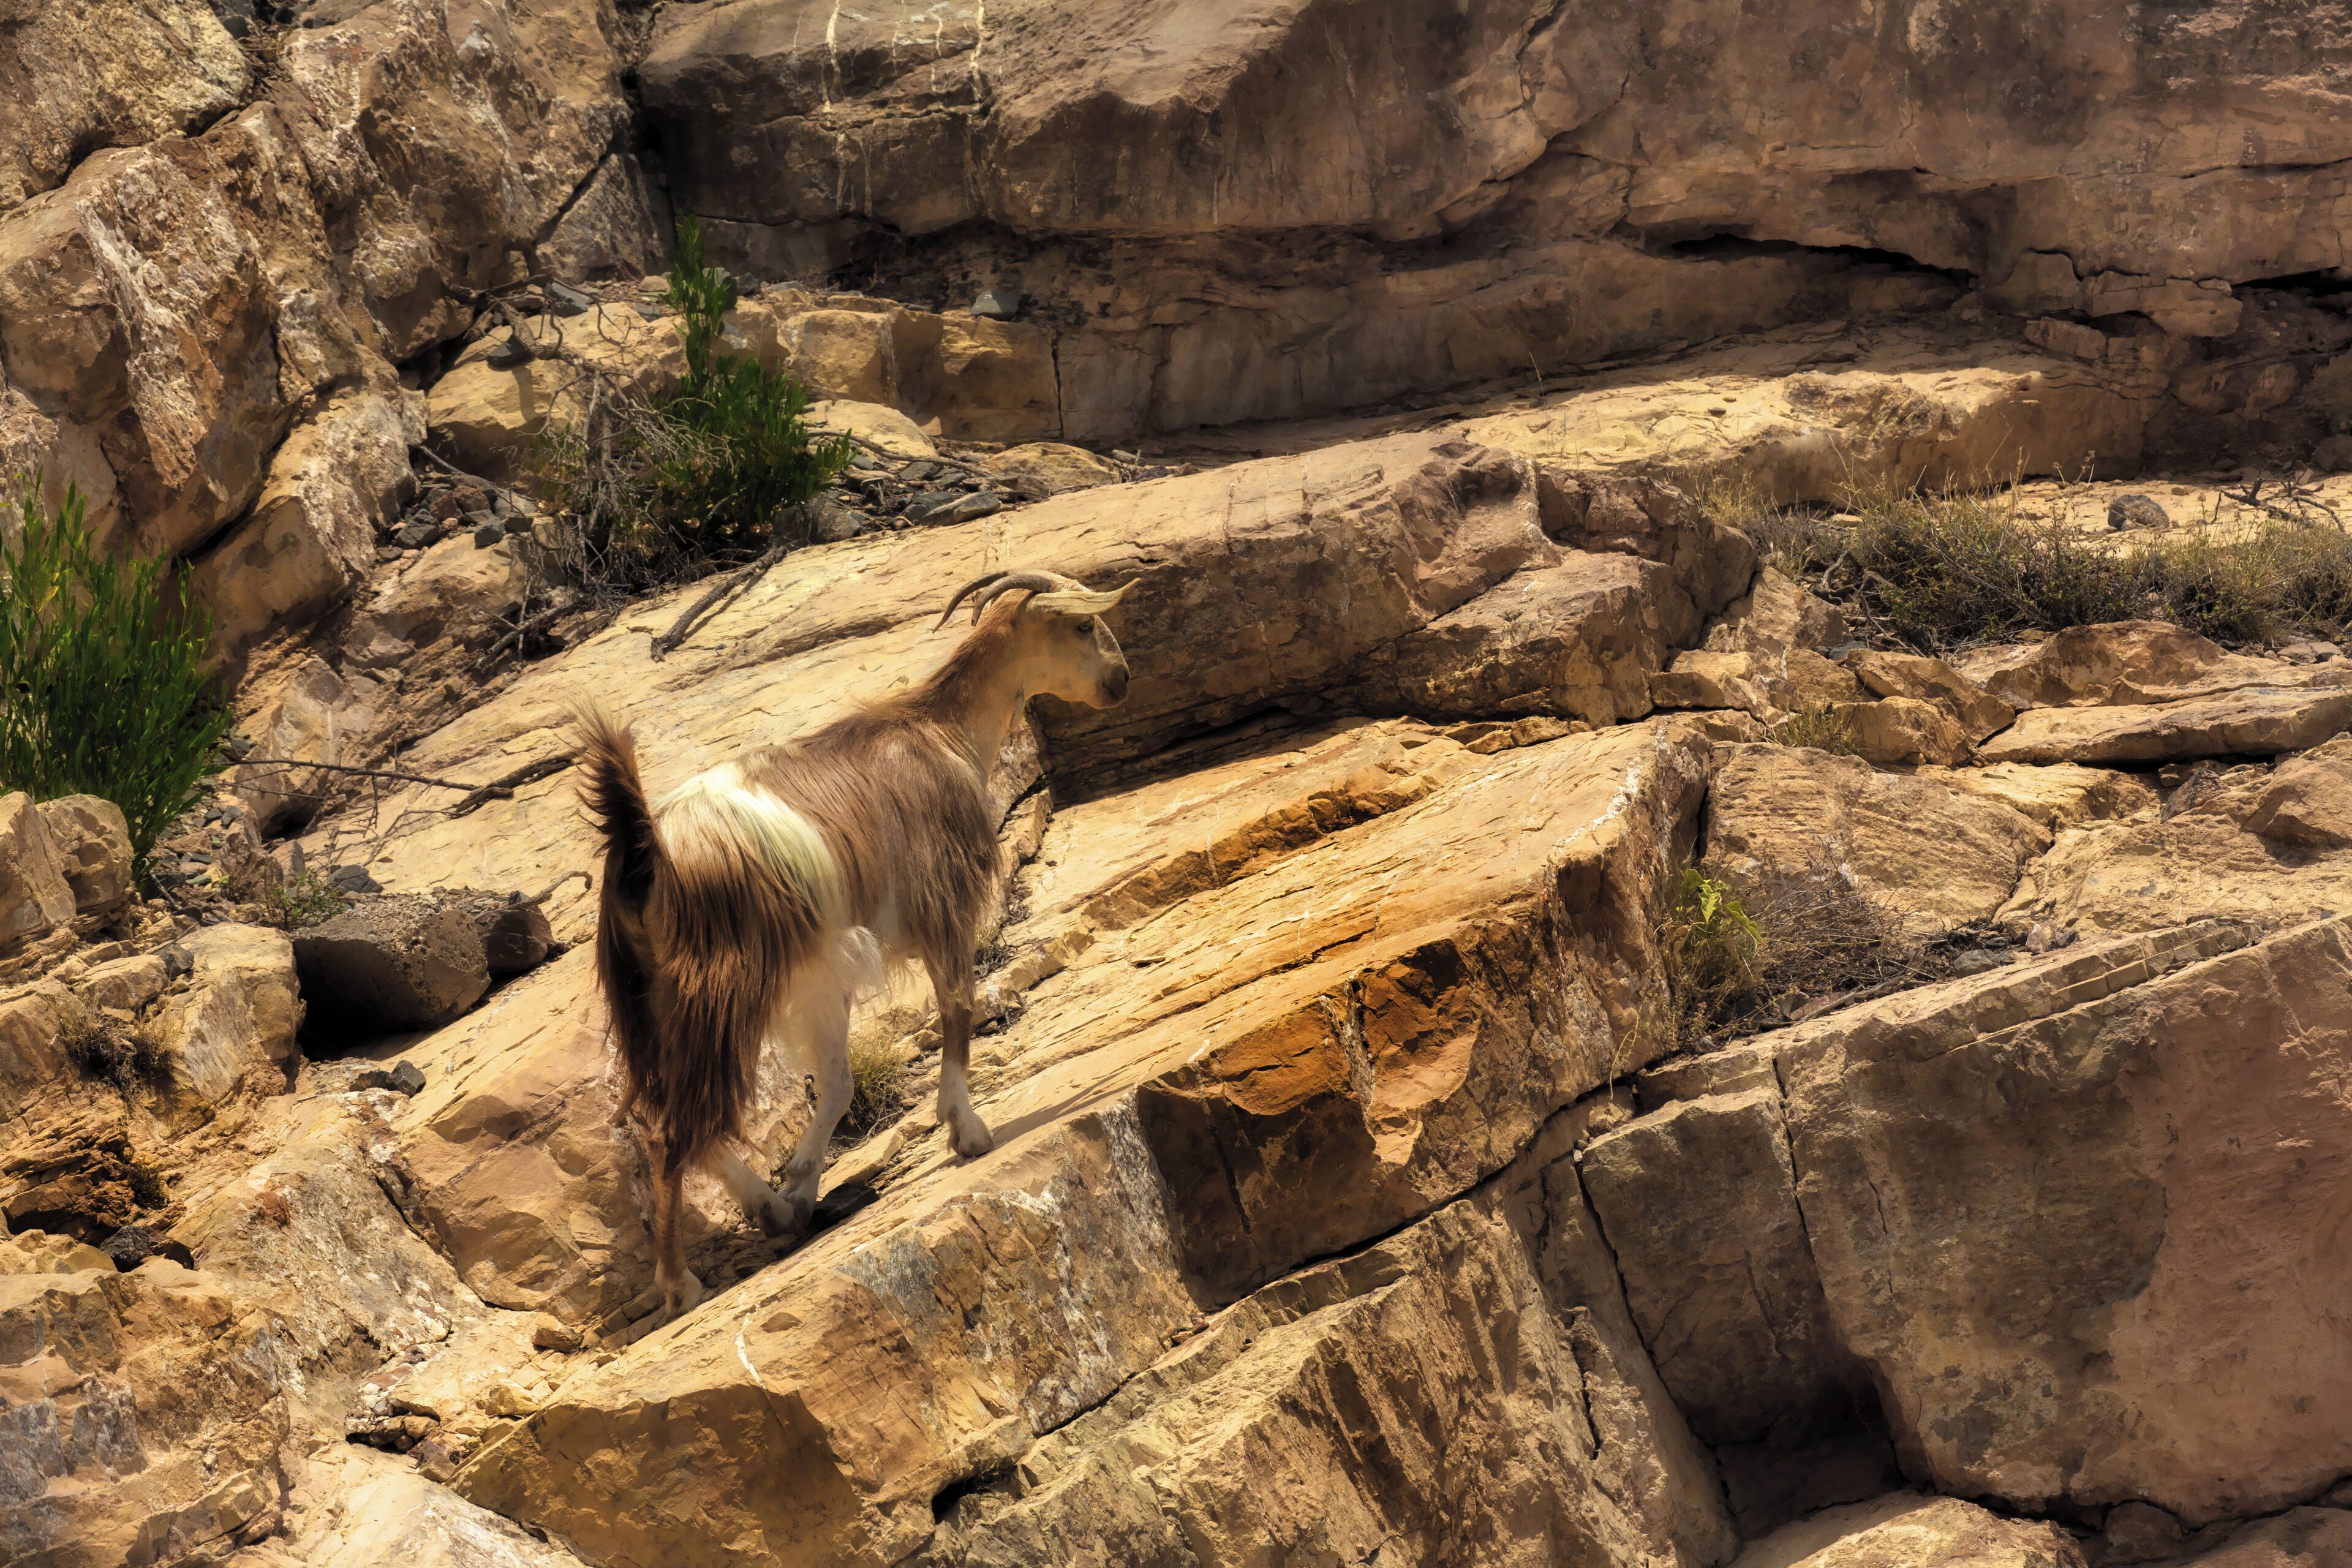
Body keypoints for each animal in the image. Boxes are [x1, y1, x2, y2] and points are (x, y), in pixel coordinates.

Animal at [576, 570, 1136, 1316]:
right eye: (1081, 624)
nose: (1121, 680)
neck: (940, 733)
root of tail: (645, 853)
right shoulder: (938, 905)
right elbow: (955, 1010)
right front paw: (967, 1129)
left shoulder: (826, 968)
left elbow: (838, 1081)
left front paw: (799, 1188)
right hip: (725, 988)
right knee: (679, 1124)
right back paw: (680, 1280)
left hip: (650, 999)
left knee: (662, 1118)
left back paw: (762, 1209)